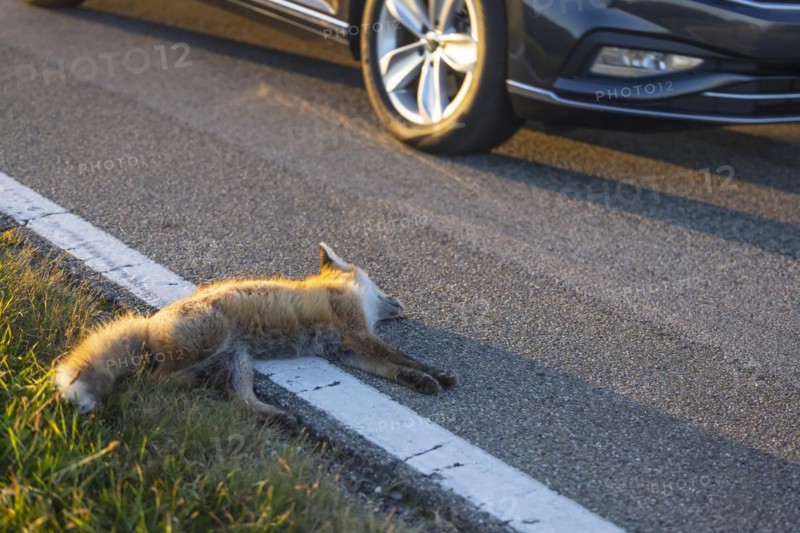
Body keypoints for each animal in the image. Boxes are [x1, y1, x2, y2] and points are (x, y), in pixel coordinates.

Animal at [54, 243, 456, 425]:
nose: (401, 303)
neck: (343, 290)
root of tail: (150, 321)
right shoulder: (356, 334)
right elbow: (404, 359)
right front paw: (436, 375)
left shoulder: (348, 349)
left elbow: (394, 369)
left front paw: (422, 382)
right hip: (213, 339)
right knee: (154, 379)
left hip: (238, 364)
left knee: (239, 400)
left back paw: (277, 416)